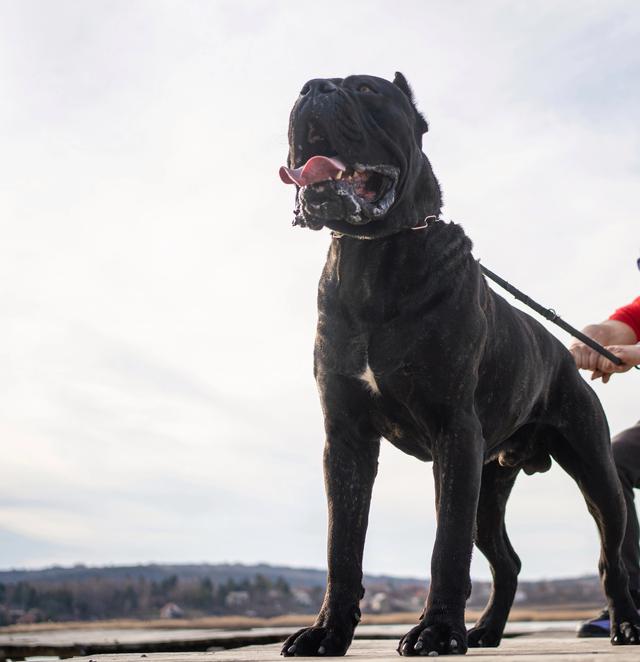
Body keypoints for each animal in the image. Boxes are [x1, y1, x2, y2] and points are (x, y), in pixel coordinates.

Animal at [278, 75, 636, 656]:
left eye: (367, 90)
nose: (313, 88)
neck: (373, 255)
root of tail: (563, 352)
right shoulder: (347, 438)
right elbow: (342, 544)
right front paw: (328, 631)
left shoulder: (455, 432)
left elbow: (445, 546)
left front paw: (436, 632)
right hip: (487, 487)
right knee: (508, 562)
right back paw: (487, 630)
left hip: (596, 474)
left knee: (612, 558)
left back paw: (624, 623)